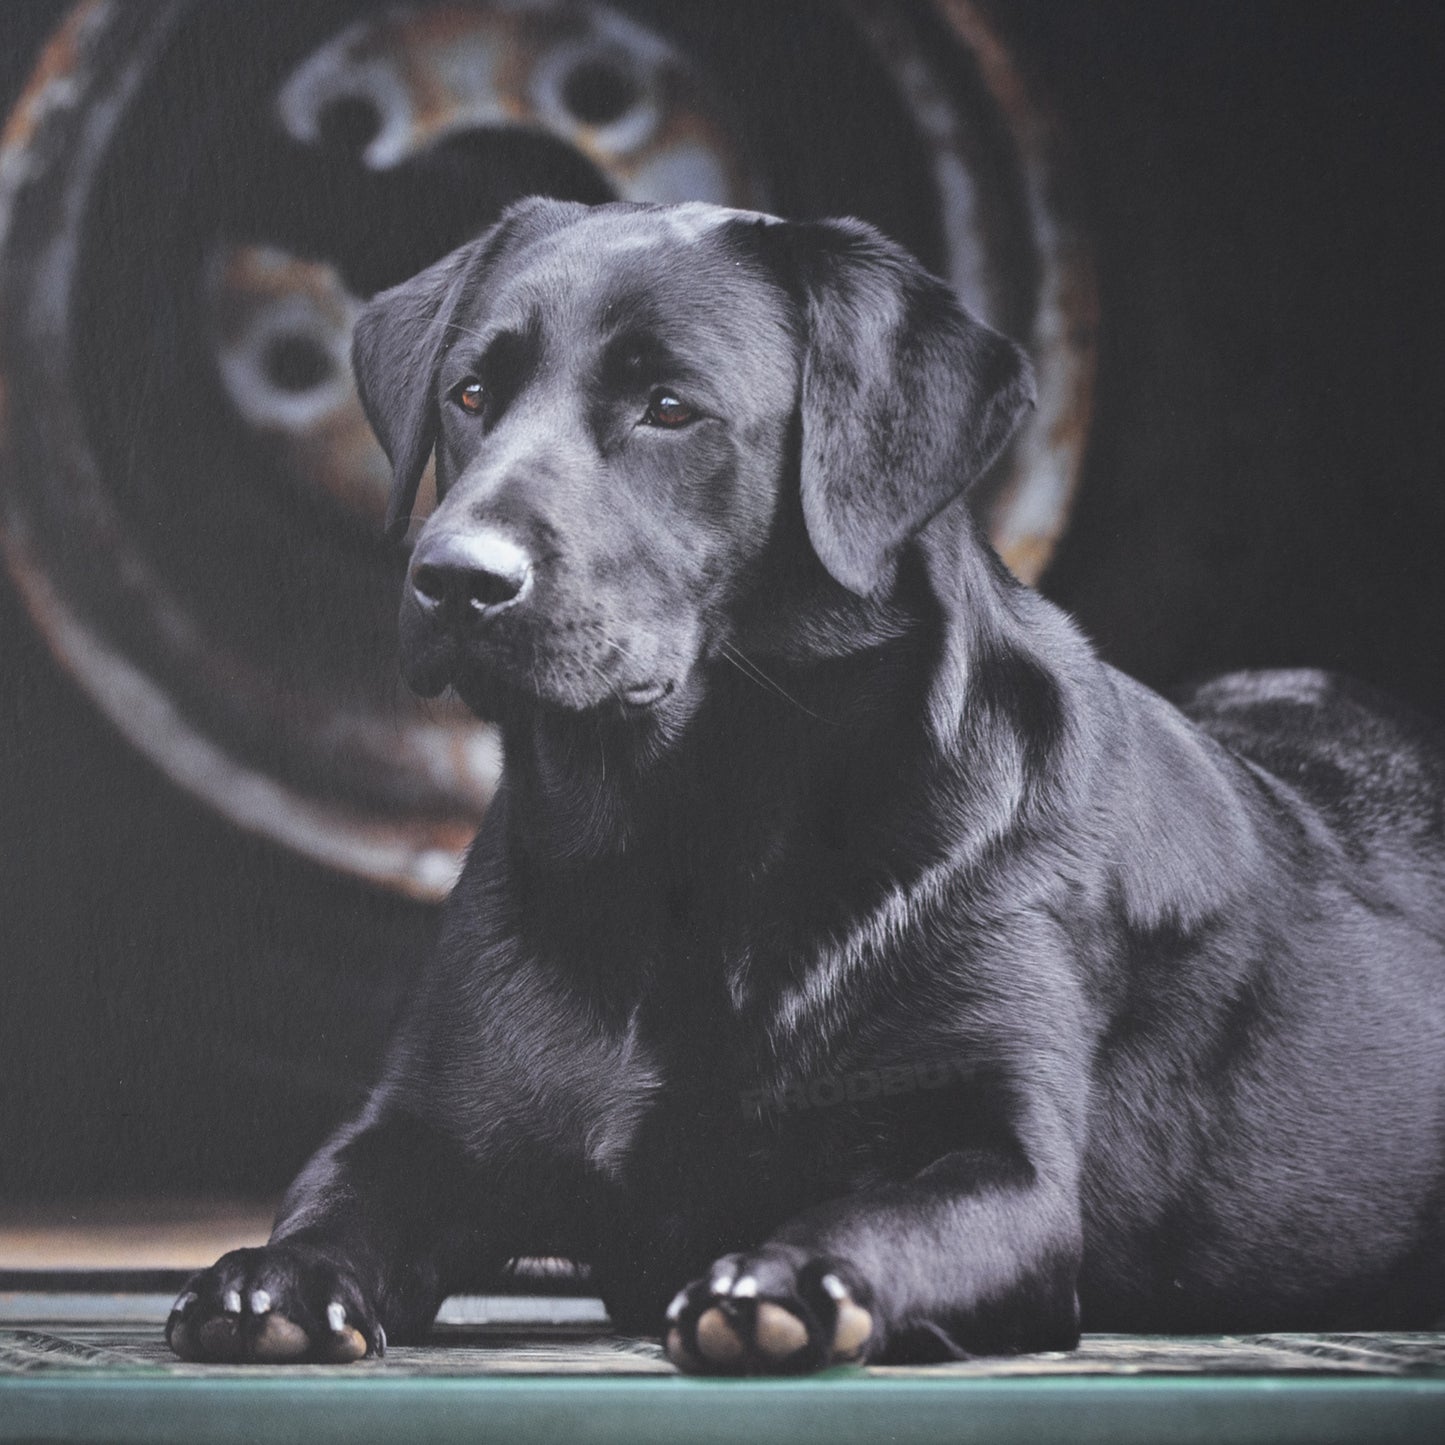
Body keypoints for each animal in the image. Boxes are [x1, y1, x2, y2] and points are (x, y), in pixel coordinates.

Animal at [171, 197, 1445, 1369]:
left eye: (669, 407)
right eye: (471, 393)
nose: (453, 576)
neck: (688, 847)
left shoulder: (1007, 1164)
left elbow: (879, 1209)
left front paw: (782, 1278)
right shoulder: (419, 1127)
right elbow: (336, 1194)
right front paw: (270, 1280)